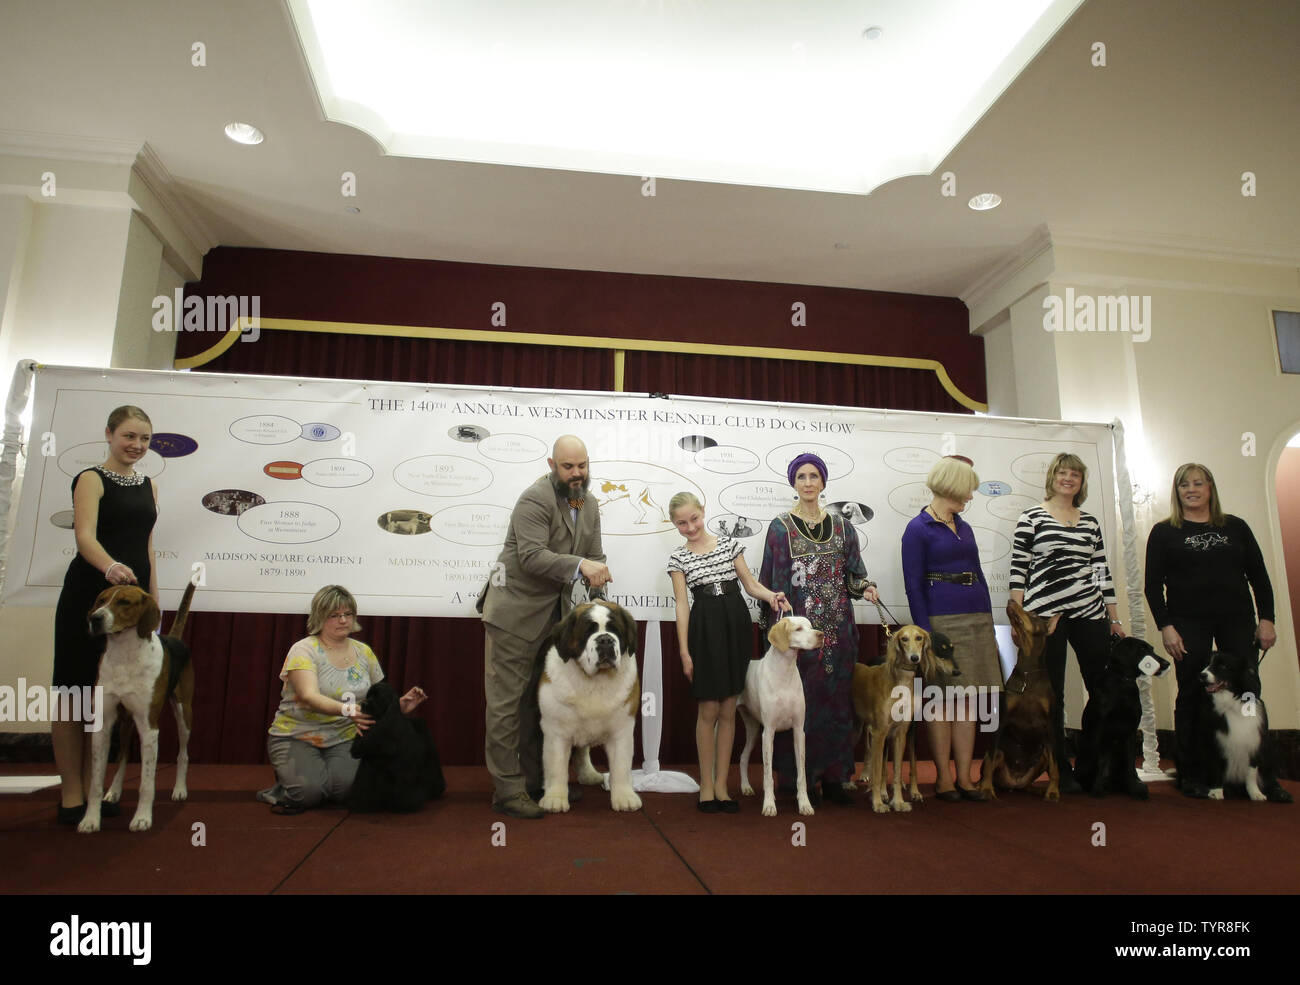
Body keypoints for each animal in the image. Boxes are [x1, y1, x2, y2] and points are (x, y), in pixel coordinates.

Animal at [77, 582, 195, 836]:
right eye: (101, 600)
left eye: (124, 602)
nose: (94, 618)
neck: (124, 654)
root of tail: (173, 637)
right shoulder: (103, 725)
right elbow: (95, 782)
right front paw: (90, 819)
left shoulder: (149, 728)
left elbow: (146, 782)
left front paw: (142, 819)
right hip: (125, 722)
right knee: (122, 755)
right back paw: (114, 791)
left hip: (184, 714)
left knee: (183, 753)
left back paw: (180, 789)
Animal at [351, 680, 447, 816]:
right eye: (368, 695)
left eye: (378, 697)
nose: (362, 704)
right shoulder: (370, 764)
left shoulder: (404, 769)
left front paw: (405, 805)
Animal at [535, 597, 642, 816]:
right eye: (588, 632)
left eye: (615, 630)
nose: (605, 640)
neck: (595, 680)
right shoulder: (556, 731)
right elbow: (556, 766)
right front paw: (555, 799)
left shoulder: (622, 729)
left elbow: (621, 766)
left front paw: (624, 798)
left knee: (582, 751)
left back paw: (588, 774)